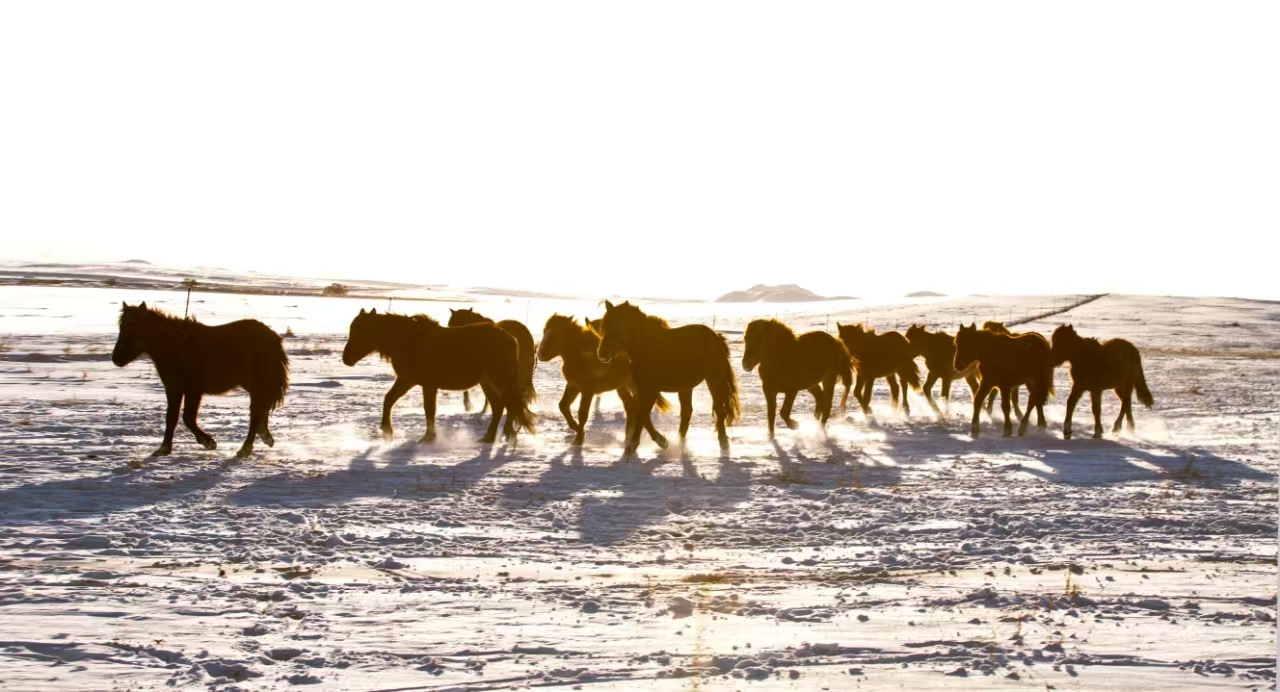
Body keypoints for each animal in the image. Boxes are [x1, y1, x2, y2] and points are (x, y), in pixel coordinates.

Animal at [111, 299, 289, 455]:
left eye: (133, 327)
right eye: (121, 327)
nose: (116, 359)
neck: (176, 347)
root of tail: (273, 338)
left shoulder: (192, 390)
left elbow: (187, 418)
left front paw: (208, 442)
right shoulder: (174, 389)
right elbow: (171, 418)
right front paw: (164, 449)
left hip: (257, 386)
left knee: (255, 414)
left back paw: (245, 449)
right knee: (261, 411)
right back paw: (264, 437)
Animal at [340, 309, 535, 442]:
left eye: (361, 331)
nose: (346, 358)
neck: (410, 342)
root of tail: (511, 338)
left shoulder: (427, 384)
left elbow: (429, 409)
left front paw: (428, 437)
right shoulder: (406, 380)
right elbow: (389, 399)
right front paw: (388, 431)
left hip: (499, 380)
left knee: (509, 404)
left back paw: (503, 435)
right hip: (488, 382)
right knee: (501, 406)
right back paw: (492, 437)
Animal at [535, 310, 670, 445]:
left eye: (555, 334)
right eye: (545, 331)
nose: (541, 354)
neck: (581, 356)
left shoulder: (587, 391)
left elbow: (582, 413)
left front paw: (578, 439)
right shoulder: (573, 386)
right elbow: (563, 406)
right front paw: (576, 427)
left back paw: (656, 439)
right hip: (624, 386)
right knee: (634, 408)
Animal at [596, 300, 742, 452]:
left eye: (618, 326)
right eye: (606, 327)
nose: (602, 353)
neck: (645, 346)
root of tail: (716, 337)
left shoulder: (650, 390)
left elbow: (642, 415)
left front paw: (637, 443)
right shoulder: (641, 390)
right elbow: (642, 415)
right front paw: (661, 441)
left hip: (714, 379)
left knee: (718, 409)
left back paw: (723, 441)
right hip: (686, 386)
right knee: (687, 412)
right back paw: (680, 440)